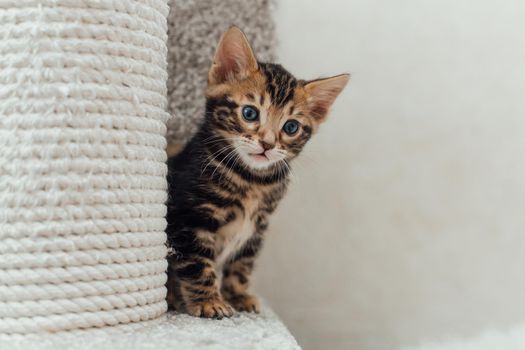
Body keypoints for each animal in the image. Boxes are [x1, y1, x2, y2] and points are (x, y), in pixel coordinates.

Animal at [166, 26, 350, 318]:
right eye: (250, 113)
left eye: (291, 127)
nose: (267, 144)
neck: (252, 180)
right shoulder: (188, 219)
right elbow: (197, 264)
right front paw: (209, 302)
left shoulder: (257, 228)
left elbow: (242, 266)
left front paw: (238, 296)